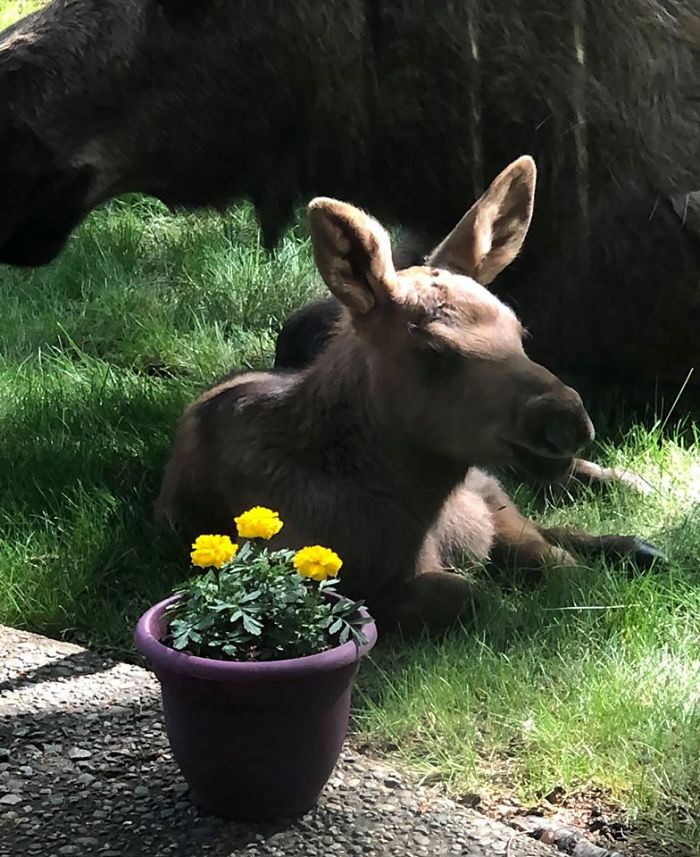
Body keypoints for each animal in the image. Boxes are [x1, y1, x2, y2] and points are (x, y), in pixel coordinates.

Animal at [157, 157, 660, 632]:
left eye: (520, 332)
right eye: (433, 349)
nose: (568, 421)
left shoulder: (491, 507)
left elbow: (559, 567)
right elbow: (473, 594)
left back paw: (633, 516)